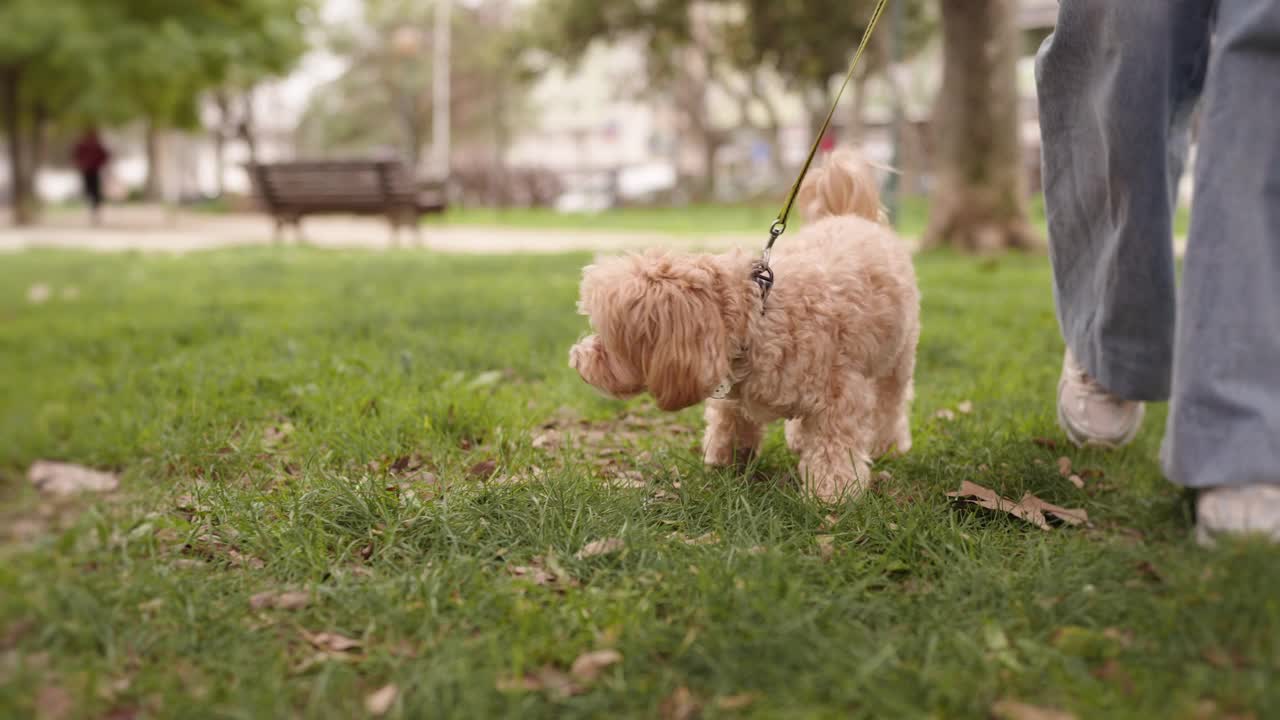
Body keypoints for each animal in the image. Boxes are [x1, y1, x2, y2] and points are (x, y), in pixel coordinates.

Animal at [570, 150, 921, 499]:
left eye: (607, 335)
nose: (576, 359)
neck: (758, 316)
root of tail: (849, 214)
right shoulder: (733, 393)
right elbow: (729, 423)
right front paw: (726, 463)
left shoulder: (838, 396)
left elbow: (833, 447)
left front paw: (833, 493)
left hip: (898, 359)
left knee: (890, 403)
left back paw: (886, 444)